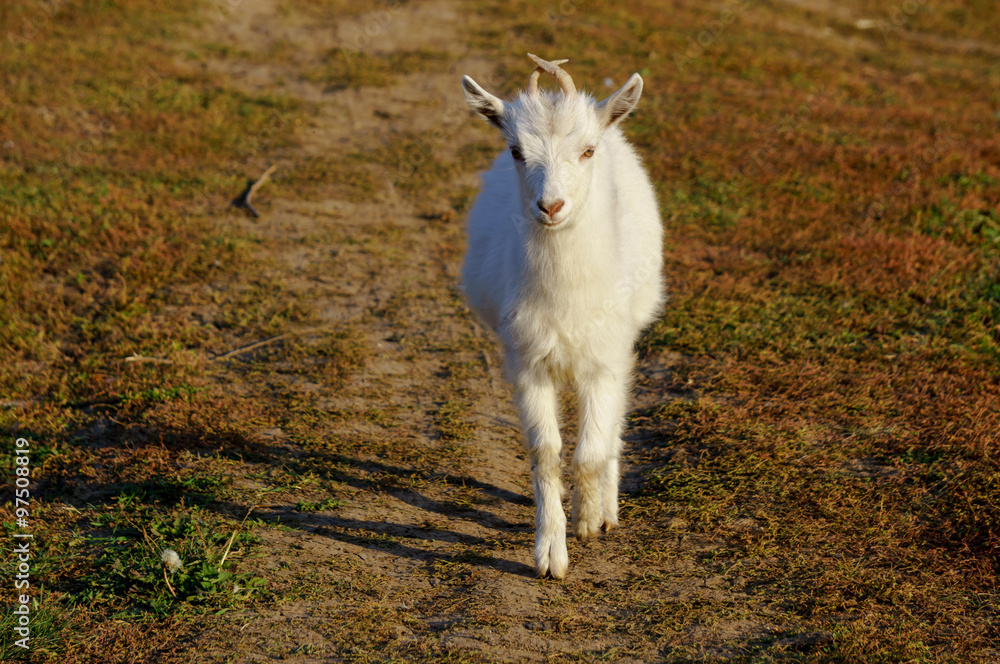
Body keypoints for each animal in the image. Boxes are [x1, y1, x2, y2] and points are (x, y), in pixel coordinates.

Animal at [461, 54, 665, 579]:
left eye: (587, 150)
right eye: (516, 150)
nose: (550, 206)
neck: (565, 296)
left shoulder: (604, 358)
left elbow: (590, 451)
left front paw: (589, 519)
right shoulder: (528, 360)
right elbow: (546, 452)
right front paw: (550, 553)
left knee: (613, 426)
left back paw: (607, 507)